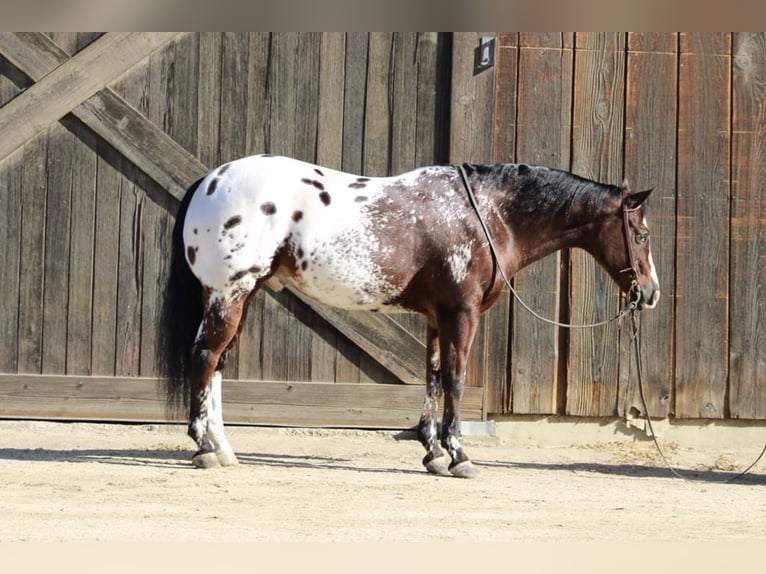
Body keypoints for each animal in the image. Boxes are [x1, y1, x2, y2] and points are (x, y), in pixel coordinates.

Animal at [156, 155, 660, 480]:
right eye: (640, 233)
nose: (651, 293)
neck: (486, 214)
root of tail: (210, 179)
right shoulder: (461, 313)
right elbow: (455, 379)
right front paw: (459, 456)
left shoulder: (438, 317)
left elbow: (433, 378)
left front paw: (432, 453)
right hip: (229, 292)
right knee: (204, 358)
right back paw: (203, 448)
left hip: (242, 295)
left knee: (217, 365)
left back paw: (224, 449)